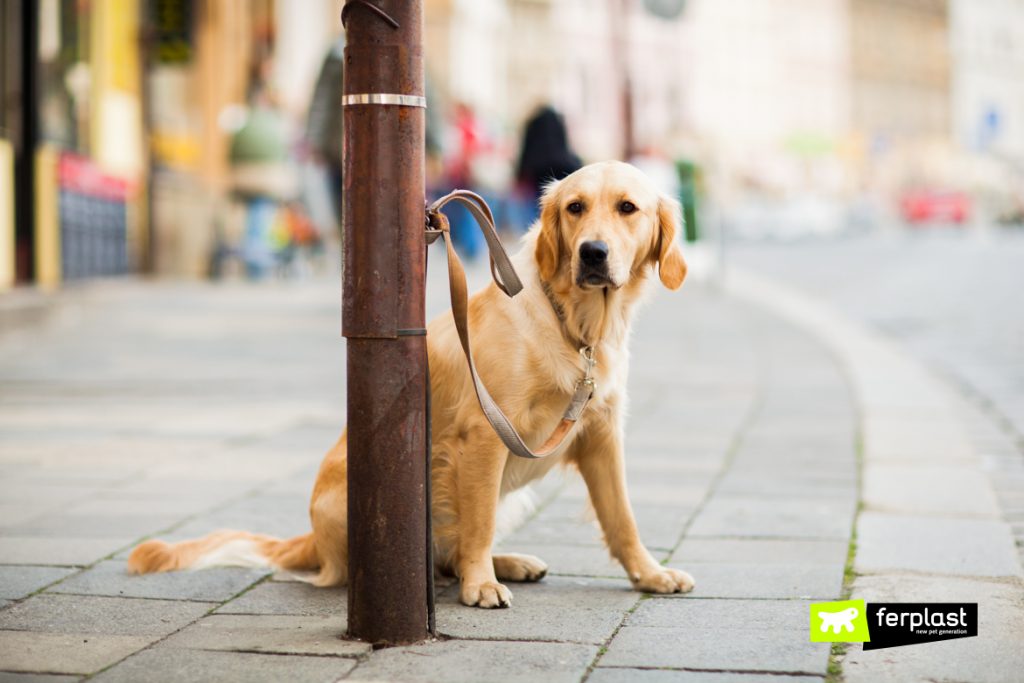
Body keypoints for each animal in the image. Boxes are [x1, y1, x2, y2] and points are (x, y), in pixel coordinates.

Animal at [123, 160, 692, 610]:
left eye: (627, 208)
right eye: (575, 207)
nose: (593, 252)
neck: (576, 325)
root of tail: (310, 539)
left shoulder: (601, 434)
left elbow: (622, 518)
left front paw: (649, 573)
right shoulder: (486, 434)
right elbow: (478, 524)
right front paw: (481, 585)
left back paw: (509, 561)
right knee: (439, 552)